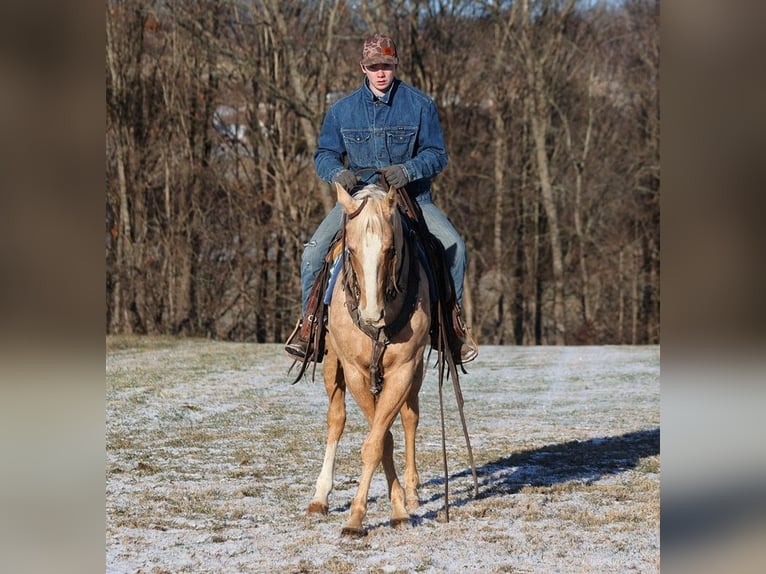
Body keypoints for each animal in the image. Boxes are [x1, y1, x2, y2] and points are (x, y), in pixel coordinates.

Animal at [308, 182, 436, 536]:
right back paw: (320, 496)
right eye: (350, 250)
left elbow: (379, 441)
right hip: (333, 365)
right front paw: (359, 516)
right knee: (336, 419)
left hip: (416, 373)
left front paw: (395, 510)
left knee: (410, 419)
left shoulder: (404, 370)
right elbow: (381, 440)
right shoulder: (355, 372)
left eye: (391, 251)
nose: (370, 314)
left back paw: (413, 492)